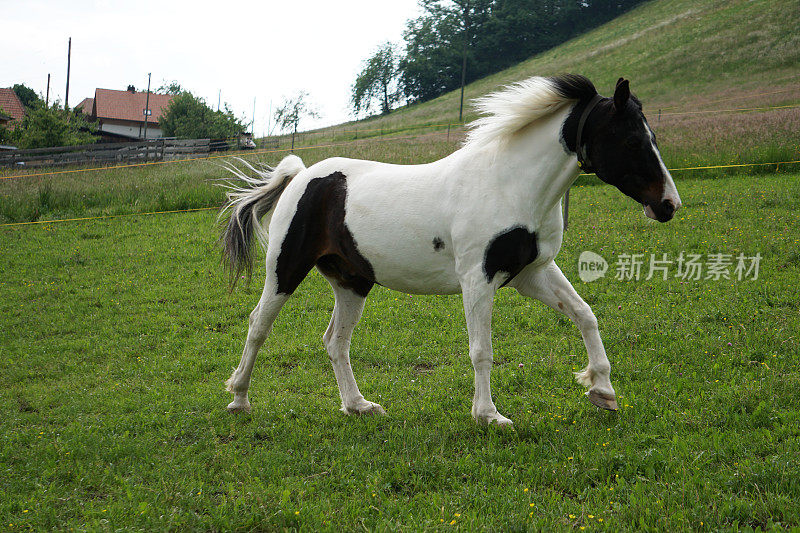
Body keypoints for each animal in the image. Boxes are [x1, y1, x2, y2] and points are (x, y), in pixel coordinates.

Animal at [219, 74, 680, 424]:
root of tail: (301, 175)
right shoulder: (478, 279)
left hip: (352, 281)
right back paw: (239, 399)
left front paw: (603, 390)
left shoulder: (532, 273)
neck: (510, 185)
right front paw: (489, 415)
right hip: (285, 269)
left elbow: (585, 315)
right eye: (633, 140)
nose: (669, 205)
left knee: (335, 341)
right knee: (258, 325)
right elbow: (482, 350)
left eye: (653, 136)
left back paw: (359, 406)